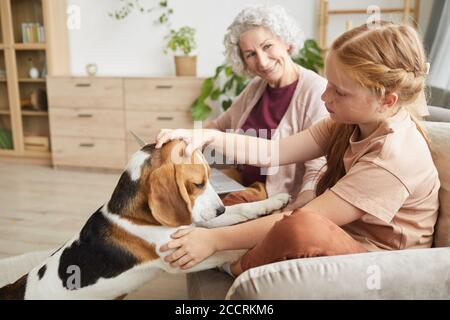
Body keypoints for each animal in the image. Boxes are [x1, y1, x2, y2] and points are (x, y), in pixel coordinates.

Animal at [0, 141, 288, 298]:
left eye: (209, 177)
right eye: (198, 184)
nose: (219, 211)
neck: (136, 214)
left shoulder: (194, 226)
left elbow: (242, 211)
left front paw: (275, 201)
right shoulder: (179, 259)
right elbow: (227, 250)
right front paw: (254, 250)